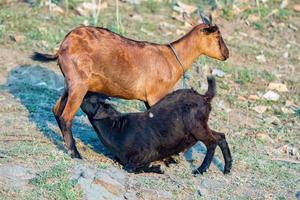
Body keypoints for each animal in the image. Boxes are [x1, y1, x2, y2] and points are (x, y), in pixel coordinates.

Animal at [31, 19, 229, 159]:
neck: (171, 59)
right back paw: (75, 153)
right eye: (217, 37)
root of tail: (64, 45)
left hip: (70, 84)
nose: (226, 54)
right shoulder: (155, 96)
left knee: (56, 110)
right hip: (79, 85)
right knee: (66, 117)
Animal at [79, 76, 232, 173]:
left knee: (212, 142)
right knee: (220, 136)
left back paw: (200, 170)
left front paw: (158, 168)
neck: (117, 129)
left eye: (89, 97)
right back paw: (227, 168)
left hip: (196, 127)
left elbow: (130, 168)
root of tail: (204, 97)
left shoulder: (145, 153)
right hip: (202, 126)